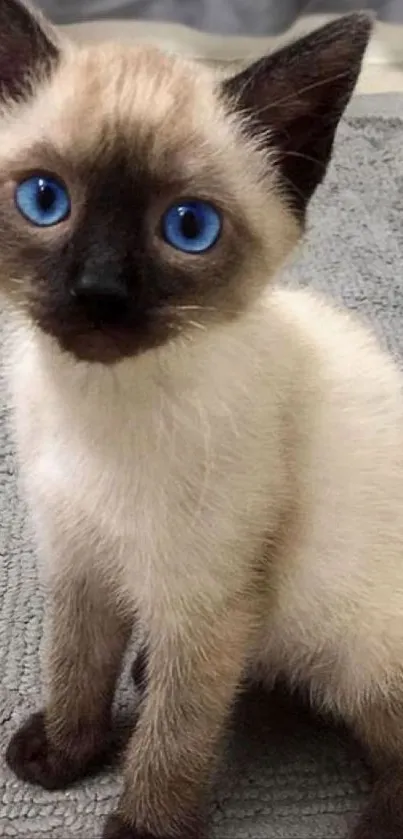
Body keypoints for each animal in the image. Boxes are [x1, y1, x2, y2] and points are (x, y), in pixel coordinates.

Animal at [2, 1, 400, 839]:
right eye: (45, 202)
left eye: (187, 227)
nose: (99, 292)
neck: (99, 403)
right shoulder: (77, 556)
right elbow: (75, 667)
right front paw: (65, 753)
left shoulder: (205, 600)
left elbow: (176, 734)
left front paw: (141, 825)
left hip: (356, 649)